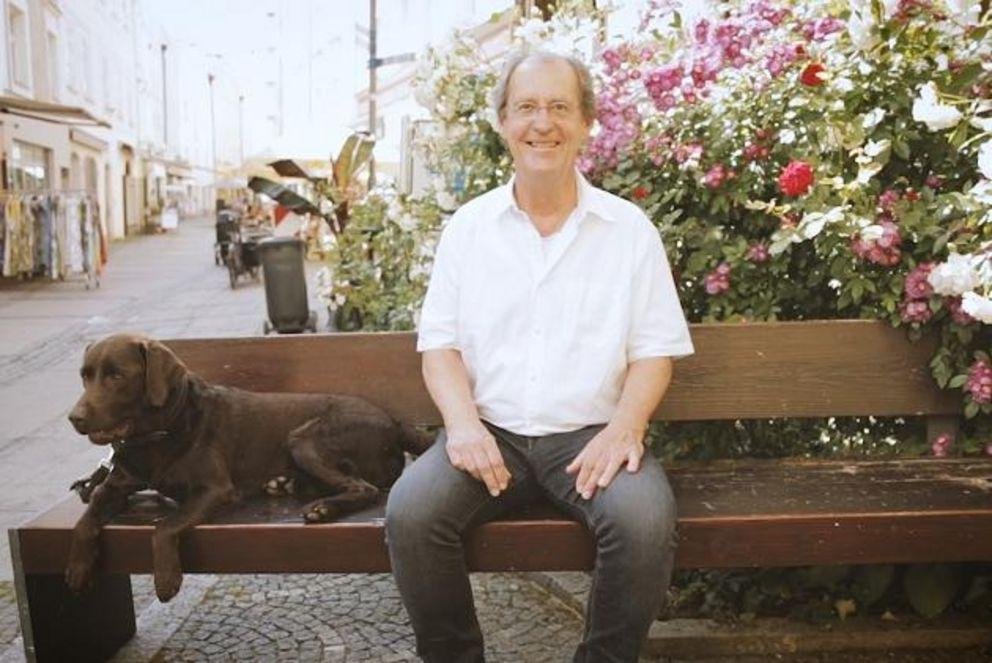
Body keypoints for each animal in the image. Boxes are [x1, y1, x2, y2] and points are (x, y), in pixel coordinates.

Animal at [66, 332, 430, 600]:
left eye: (116, 375)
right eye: (84, 376)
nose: (74, 418)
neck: (157, 434)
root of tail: (395, 421)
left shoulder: (215, 489)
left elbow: (165, 525)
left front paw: (166, 578)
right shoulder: (116, 484)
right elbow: (86, 520)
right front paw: (78, 568)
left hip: (304, 438)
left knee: (365, 488)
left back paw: (322, 508)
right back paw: (287, 484)